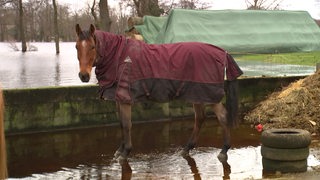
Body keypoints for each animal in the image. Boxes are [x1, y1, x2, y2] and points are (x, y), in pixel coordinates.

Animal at [75, 23, 244, 160]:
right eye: (77, 47)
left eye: (92, 47)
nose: (83, 76)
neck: (120, 57)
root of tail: (222, 52)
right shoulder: (119, 99)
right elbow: (121, 124)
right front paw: (120, 150)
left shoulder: (125, 99)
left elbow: (127, 124)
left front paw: (125, 152)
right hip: (197, 94)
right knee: (200, 118)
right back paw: (187, 149)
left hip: (209, 95)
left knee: (222, 117)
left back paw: (223, 151)